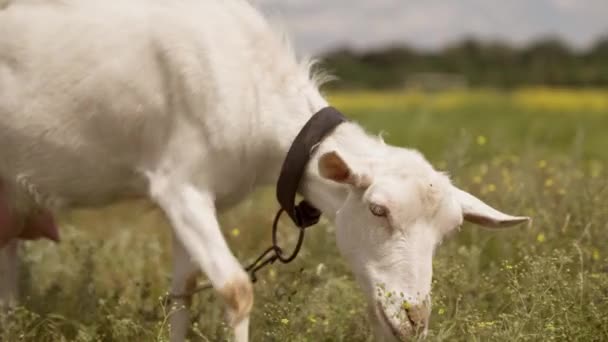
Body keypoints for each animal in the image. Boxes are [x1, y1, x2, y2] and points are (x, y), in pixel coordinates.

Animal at [0, 1, 528, 340]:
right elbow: (235, 289)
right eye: (378, 210)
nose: (415, 319)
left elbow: (182, 294)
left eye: (449, 231)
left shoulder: (193, 202)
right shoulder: (180, 185)